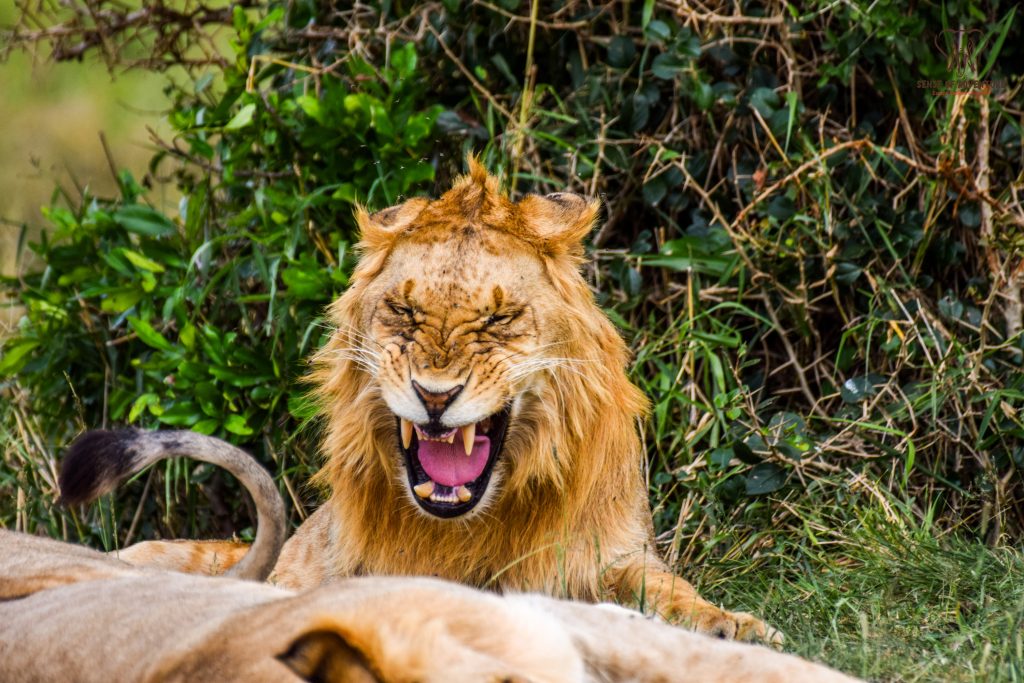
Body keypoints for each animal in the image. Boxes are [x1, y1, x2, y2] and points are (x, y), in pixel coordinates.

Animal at [64, 159, 775, 642]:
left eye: (497, 321)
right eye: (405, 313)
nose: (436, 397)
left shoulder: (615, 556)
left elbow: (671, 591)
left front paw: (733, 625)